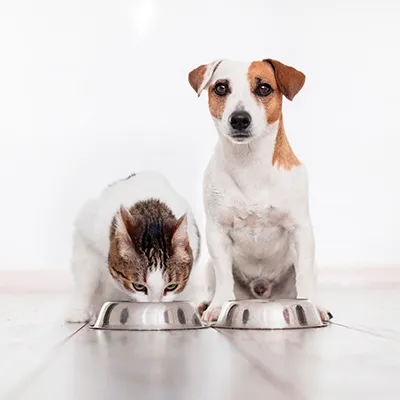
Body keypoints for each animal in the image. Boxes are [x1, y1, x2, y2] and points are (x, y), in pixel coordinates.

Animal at [65, 170, 206, 324]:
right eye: (138, 286)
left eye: (171, 287)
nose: (154, 306)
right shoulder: (86, 235)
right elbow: (86, 281)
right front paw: (79, 312)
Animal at [189, 58, 330, 322]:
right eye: (221, 88)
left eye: (264, 88)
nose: (239, 119)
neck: (249, 163)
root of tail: (261, 289)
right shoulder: (216, 231)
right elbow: (224, 277)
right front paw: (218, 306)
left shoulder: (300, 228)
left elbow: (304, 274)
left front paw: (314, 307)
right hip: (209, 268)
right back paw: (206, 302)